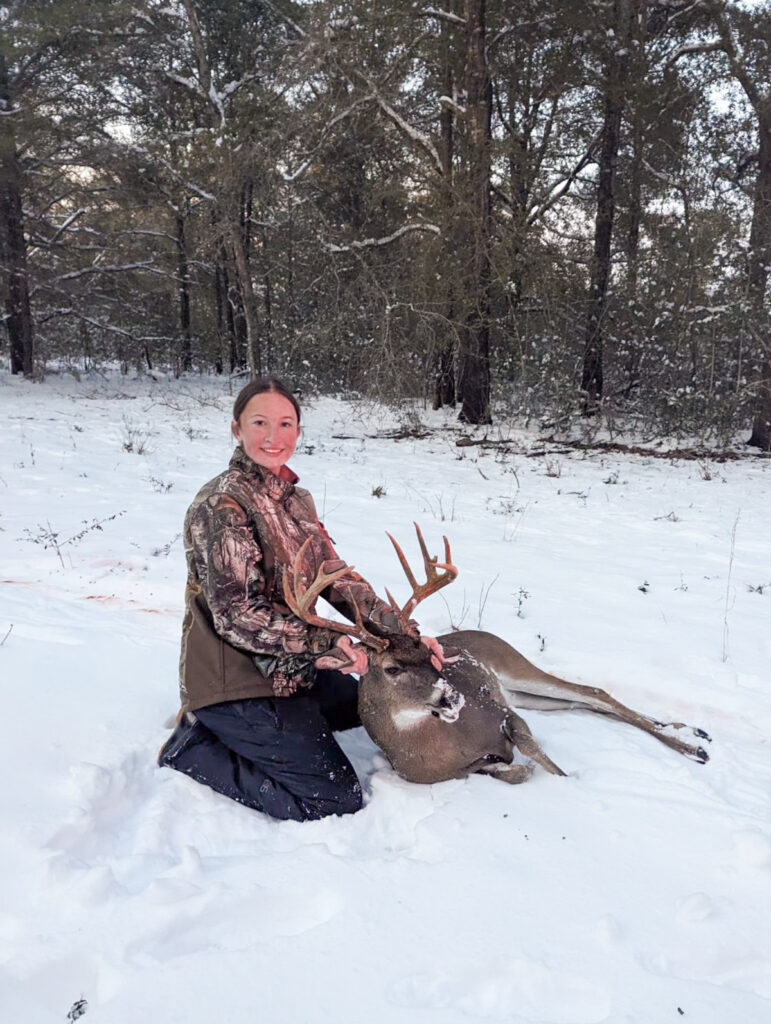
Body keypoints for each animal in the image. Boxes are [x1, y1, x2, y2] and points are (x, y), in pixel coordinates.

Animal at [284, 525, 711, 785]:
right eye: (391, 668)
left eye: (429, 655)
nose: (452, 697)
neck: (431, 747)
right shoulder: (461, 766)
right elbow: (507, 770)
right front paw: (516, 768)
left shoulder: (505, 713)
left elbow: (539, 757)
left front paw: (567, 783)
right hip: (525, 693)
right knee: (587, 704)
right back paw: (692, 733)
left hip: (513, 666)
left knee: (594, 693)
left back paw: (695, 746)